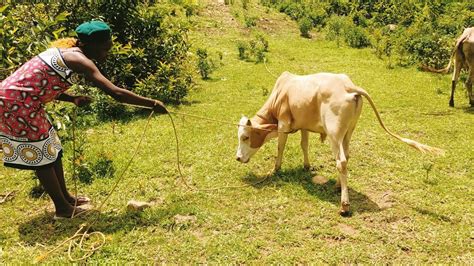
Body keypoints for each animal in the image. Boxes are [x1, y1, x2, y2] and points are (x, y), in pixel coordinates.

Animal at [237, 72, 444, 216]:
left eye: (245, 137)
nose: (238, 158)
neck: (281, 93)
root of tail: (349, 86)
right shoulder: (303, 125)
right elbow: (304, 144)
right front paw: (306, 166)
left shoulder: (283, 124)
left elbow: (280, 147)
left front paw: (276, 169)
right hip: (348, 132)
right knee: (347, 156)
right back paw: (337, 185)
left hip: (334, 134)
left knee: (341, 161)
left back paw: (344, 205)